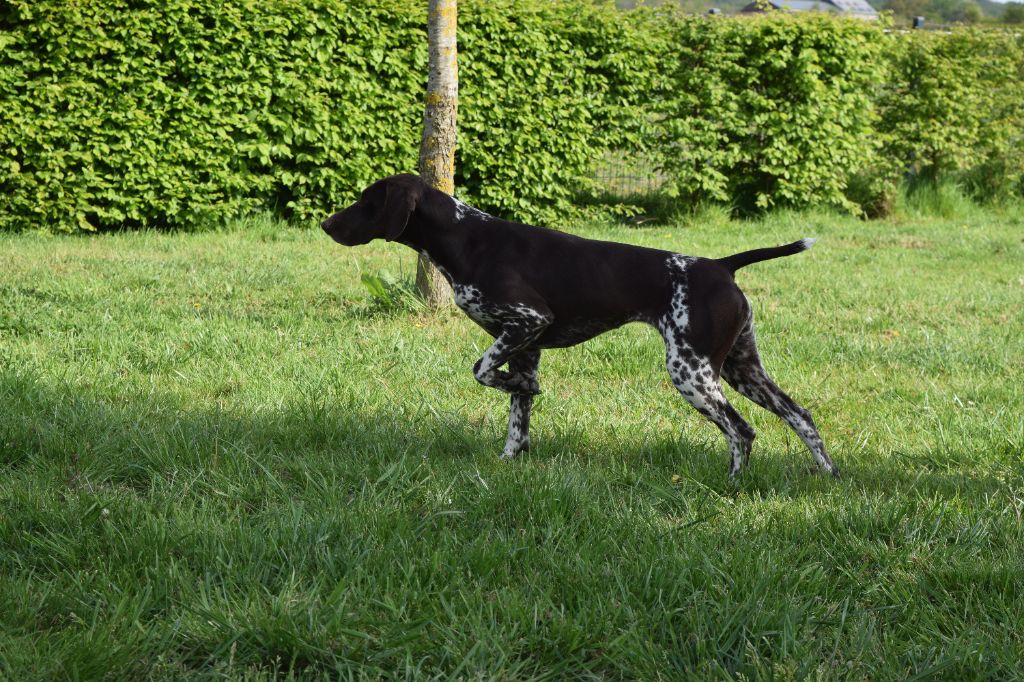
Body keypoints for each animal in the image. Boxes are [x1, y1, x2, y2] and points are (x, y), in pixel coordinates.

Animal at [321, 173, 839, 475]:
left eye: (366, 201)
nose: (326, 225)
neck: (465, 236)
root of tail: (721, 266)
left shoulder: (527, 322)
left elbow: (483, 371)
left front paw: (521, 392)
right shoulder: (525, 346)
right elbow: (516, 418)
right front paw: (510, 458)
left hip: (692, 374)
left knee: (741, 431)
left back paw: (731, 487)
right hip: (741, 369)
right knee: (802, 416)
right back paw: (827, 475)